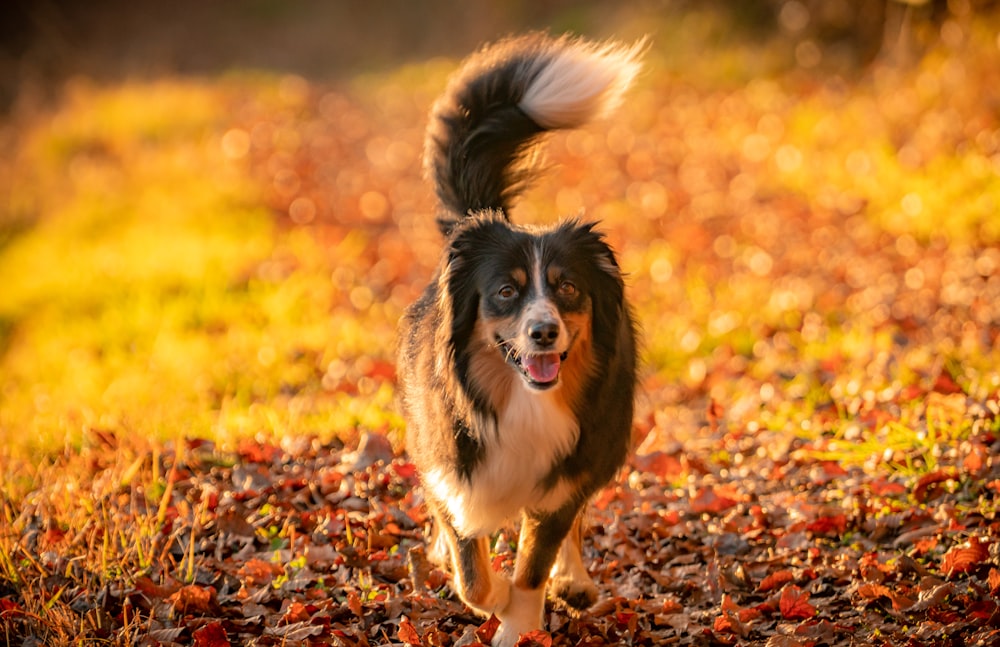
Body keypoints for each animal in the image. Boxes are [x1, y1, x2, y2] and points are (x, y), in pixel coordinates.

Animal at [396, 35, 640, 647]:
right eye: (506, 291)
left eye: (567, 287)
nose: (544, 331)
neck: (519, 401)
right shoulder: (452, 469)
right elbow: (472, 574)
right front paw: (495, 596)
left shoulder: (567, 473)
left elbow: (535, 560)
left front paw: (519, 618)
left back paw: (573, 581)